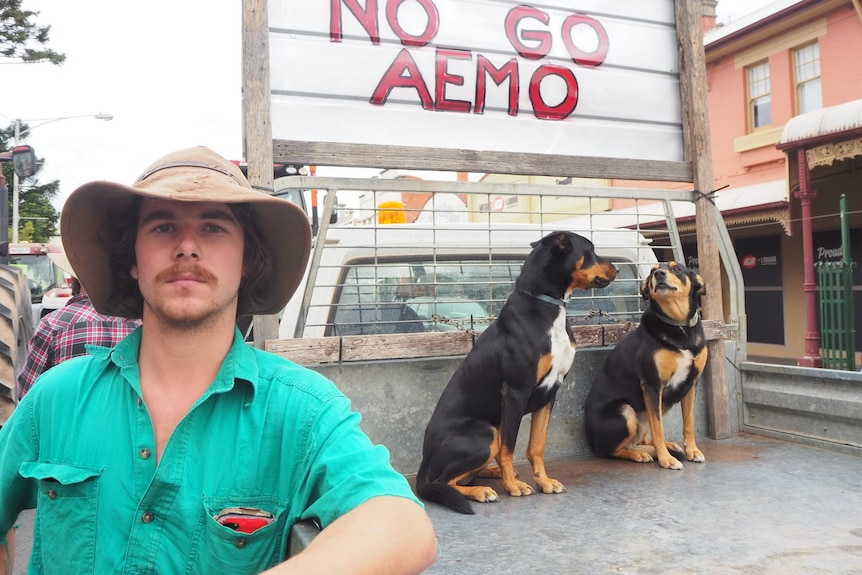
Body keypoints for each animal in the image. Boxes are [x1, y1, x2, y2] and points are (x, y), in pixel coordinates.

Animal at [418, 232, 620, 516]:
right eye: (589, 251)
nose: (617, 269)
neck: (547, 307)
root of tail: (424, 462)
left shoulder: (550, 394)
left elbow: (536, 446)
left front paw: (543, 482)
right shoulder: (515, 393)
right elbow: (509, 447)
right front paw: (513, 487)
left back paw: (493, 473)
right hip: (486, 432)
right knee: (441, 482)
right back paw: (482, 490)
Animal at [588, 264, 708, 470]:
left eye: (677, 269)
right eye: (653, 270)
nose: (659, 274)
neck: (679, 326)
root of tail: (590, 439)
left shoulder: (691, 384)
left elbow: (689, 423)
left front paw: (692, 450)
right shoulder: (652, 385)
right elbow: (659, 429)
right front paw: (666, 459)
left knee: (640, 440)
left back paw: (662, 447)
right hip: (626, 412)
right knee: (612, 450)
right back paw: (640, 454)